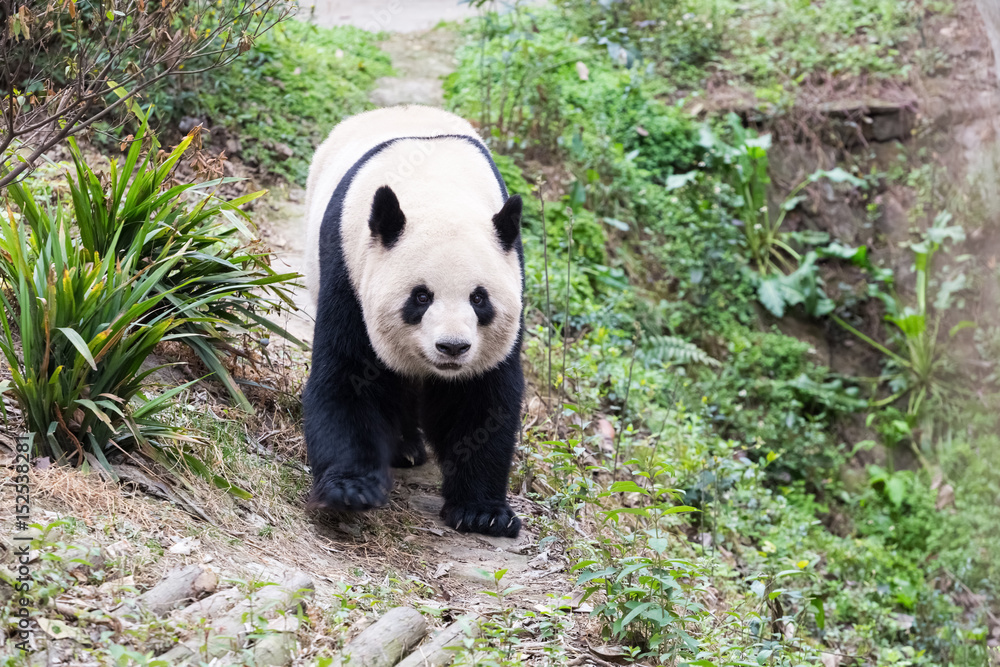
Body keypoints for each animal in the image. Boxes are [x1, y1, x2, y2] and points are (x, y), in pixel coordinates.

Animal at [302, 107, 524, 540]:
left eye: (479, 298)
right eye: (421, 297)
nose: (452, 347)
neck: (436, 187)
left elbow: (480, 398)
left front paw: (482, 512)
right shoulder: (349, 272)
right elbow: (349, 377)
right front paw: (351, 489)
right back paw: (405, 448)